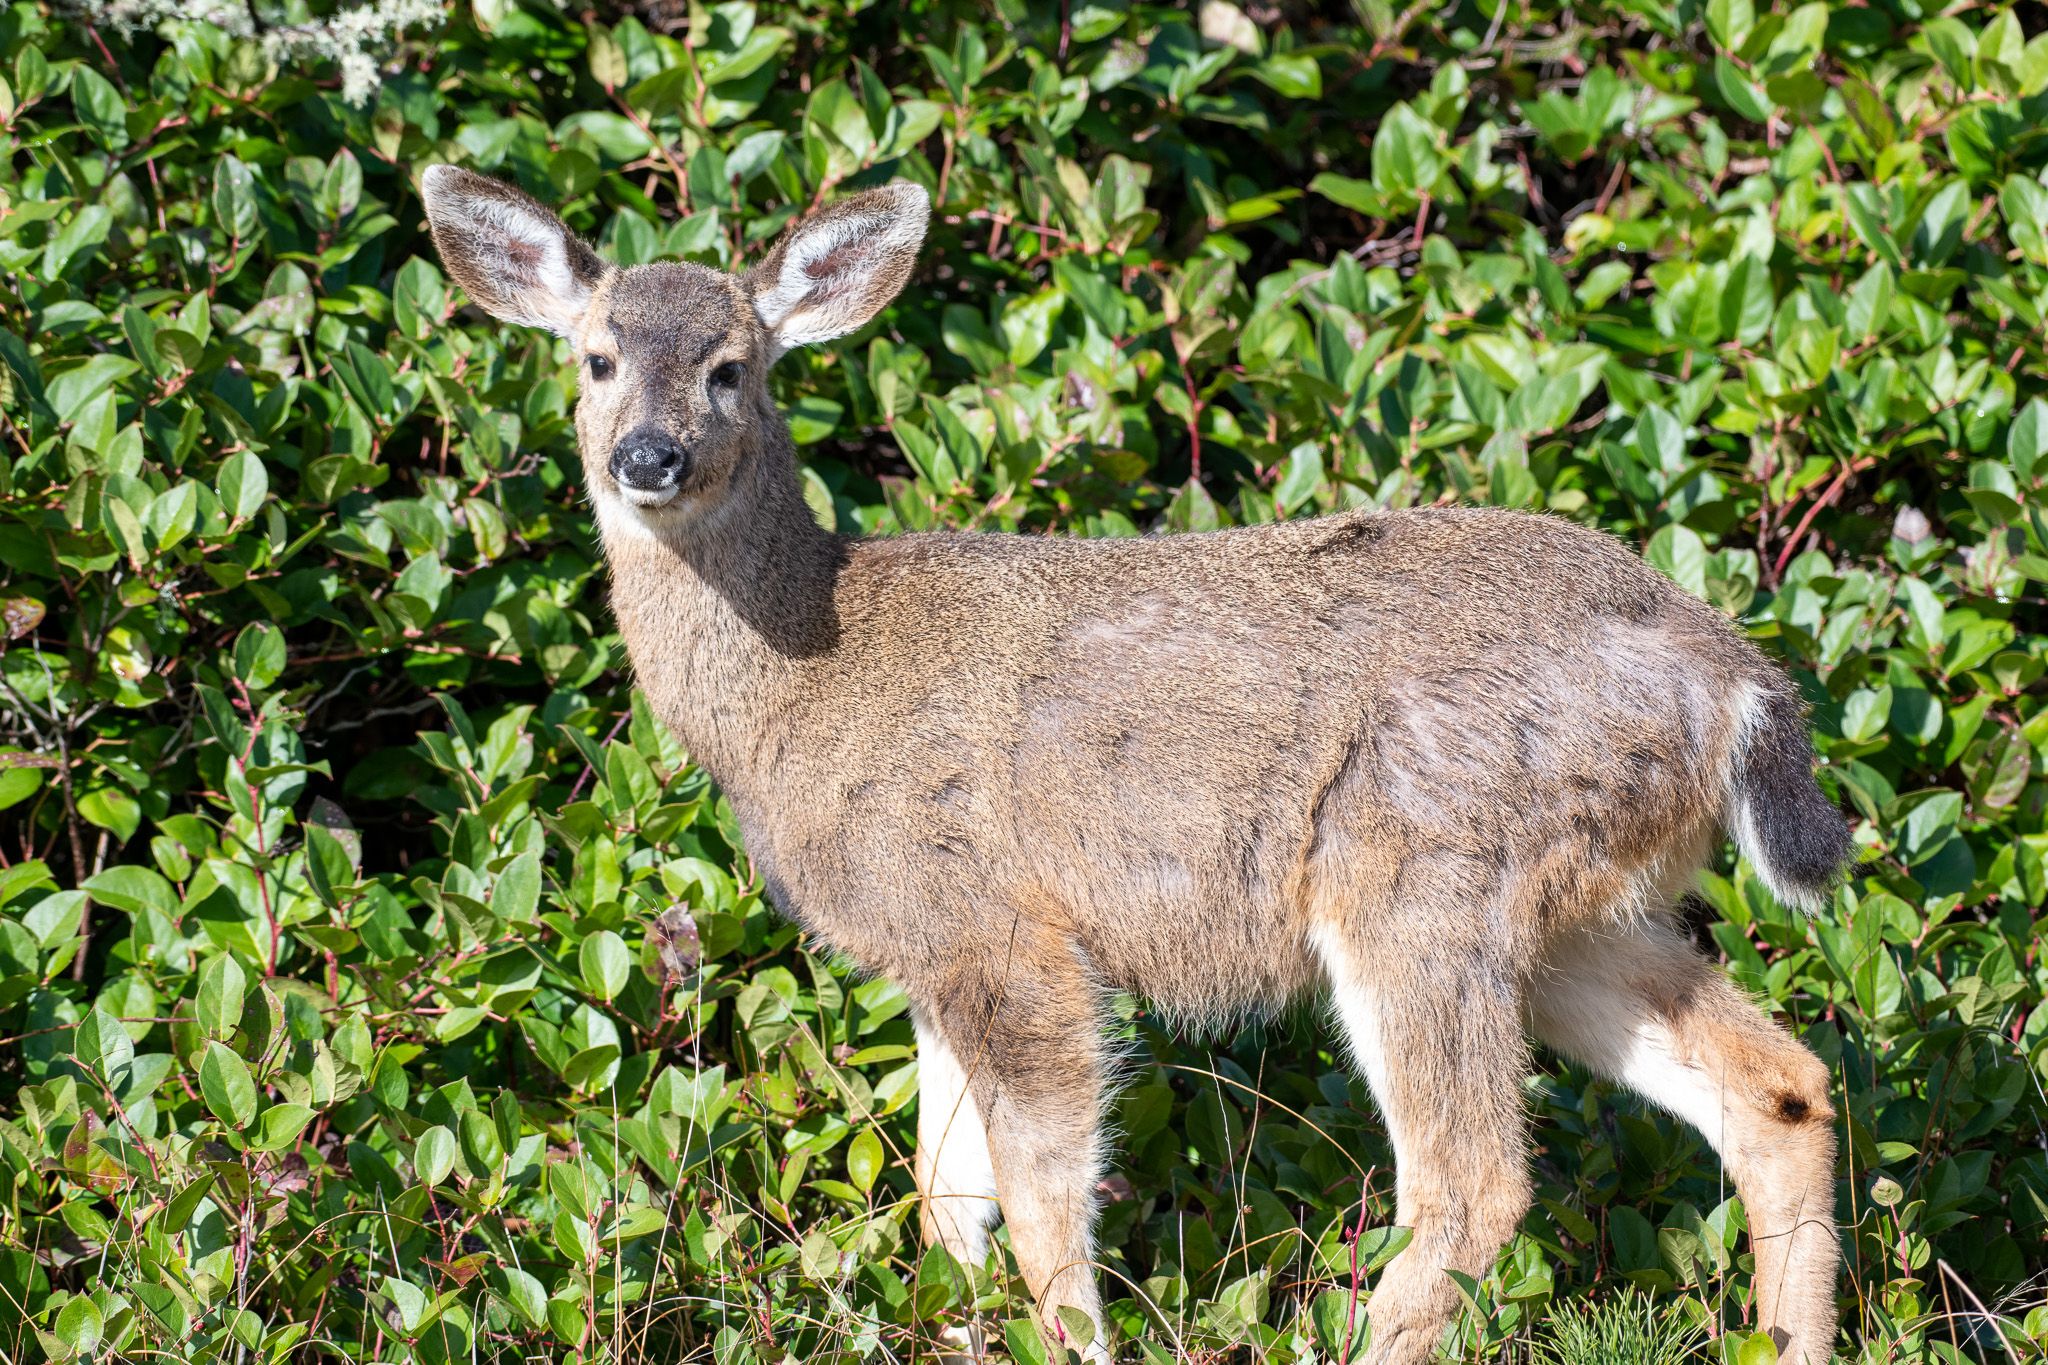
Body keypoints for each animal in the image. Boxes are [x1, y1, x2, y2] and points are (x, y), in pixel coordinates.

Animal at [423, 167, 1851, 1365]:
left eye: (731, 368)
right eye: (596, 358)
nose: (645, 457)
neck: (808, 677)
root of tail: (1729, 675)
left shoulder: (1006, 929)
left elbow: (1043, 1203)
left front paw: (1066, 1342)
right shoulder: (931, 954)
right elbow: (944, 1199)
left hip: (1421, 874)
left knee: (1473, 1181)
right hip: (1574, 912)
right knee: (1779, 1089)